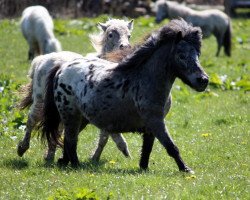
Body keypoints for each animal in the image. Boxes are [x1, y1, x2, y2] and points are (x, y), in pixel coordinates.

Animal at [17, 18, 134, 162]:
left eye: (129, 35)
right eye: (110, 34)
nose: (125, 47)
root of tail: (41, 59)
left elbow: (104, 137)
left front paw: (96, 157)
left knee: (56, 128)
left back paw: (50, 154)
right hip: (40, 100)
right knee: (32, 120)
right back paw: (23, 148)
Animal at [41, 18, 209, 173]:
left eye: (197, 54)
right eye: (181, 55)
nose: (203, 80)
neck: (145, 79)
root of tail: (61, 68)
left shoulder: (150, 127)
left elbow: (147, 150)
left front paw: (143, 169)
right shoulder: (156, 122)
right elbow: (171, 147)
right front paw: (186, 169)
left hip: (81, 119)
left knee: (67, 141)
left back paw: (64, 162)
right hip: (71, 117)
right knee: (70, 141)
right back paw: (76, 166)